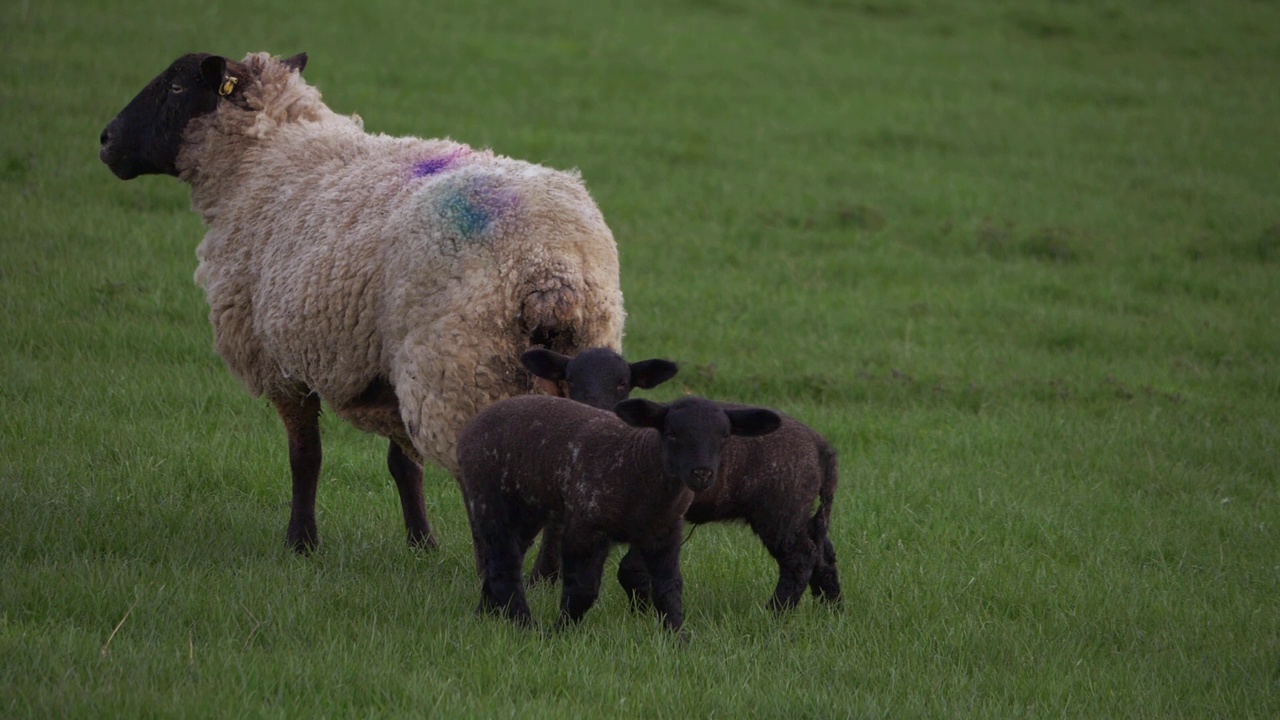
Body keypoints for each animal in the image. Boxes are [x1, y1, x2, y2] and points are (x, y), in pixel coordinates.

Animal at [99, 51, 624, 548]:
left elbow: (305, 457)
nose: (105, 140)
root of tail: (550, 269)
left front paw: (301, 542)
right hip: (570, 359)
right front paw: (421, 544)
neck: (262, 159)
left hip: (457, 373)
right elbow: (403, 464)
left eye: (175, 85)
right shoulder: (383, 367)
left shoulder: (281, 358)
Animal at [460, 389, 778, 630]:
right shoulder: (586, 526)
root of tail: (478, 420)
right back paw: (525, 625)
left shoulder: (666, 533)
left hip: (526, 508)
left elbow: (669, 588)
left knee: (503, 557)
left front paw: (678, 638)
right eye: (672, 433)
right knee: (504, 565)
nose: (702, 473)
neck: (639, 465)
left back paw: (485, 614)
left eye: (724, 436)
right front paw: (559, 632)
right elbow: (583, 590)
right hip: (488, 497)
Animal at [519, 351, 839, 607]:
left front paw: (644, 612)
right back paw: (831, 610)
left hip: (779, 508)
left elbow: (631, 570)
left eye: (622, 382)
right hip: (800, 509)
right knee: (824, 554)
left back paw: (777, 613)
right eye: (570, 379)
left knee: (800, 558)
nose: (593, 407)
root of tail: (821, 446)